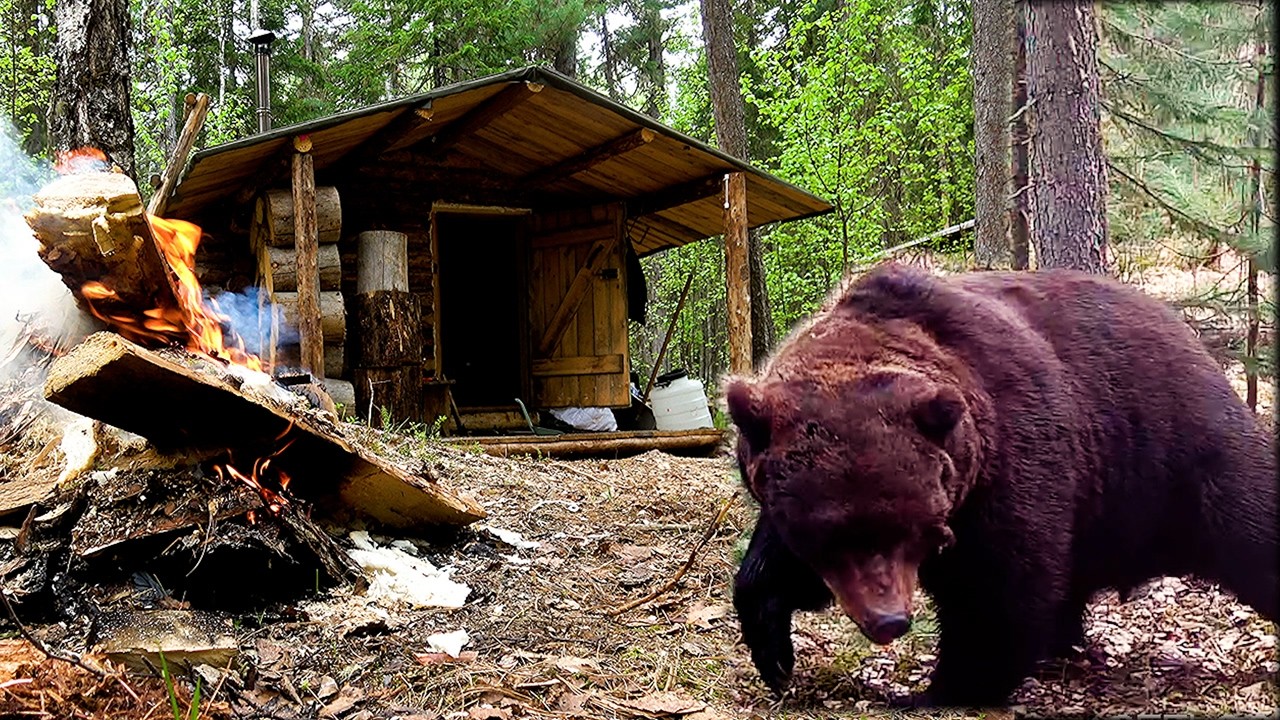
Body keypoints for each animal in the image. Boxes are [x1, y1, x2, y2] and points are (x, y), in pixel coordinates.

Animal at [725, 261, 1277, 708]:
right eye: (830, 537)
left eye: (913, 529)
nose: (889, 621)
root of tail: (1187, 332)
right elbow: (771, 569)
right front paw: (774, 652)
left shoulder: (1012, 459)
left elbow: (1001, 588)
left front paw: (938, 690)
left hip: (1177, 450)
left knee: (1251, 524)